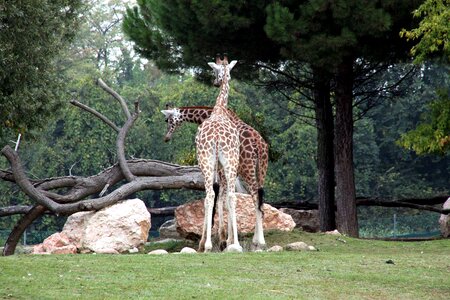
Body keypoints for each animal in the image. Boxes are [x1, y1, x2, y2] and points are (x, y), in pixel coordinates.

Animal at [161, 104, 268, 250]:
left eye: (168, 120)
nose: (166, 138)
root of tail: (259, 144)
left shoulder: (220, 171)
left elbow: (218, 200)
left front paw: (221, 240)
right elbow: (225, 200)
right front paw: (227, 240)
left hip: (247, 169)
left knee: (254, 197)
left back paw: (259, 240)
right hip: (261, 169)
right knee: (259, 199)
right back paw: (257, 240)